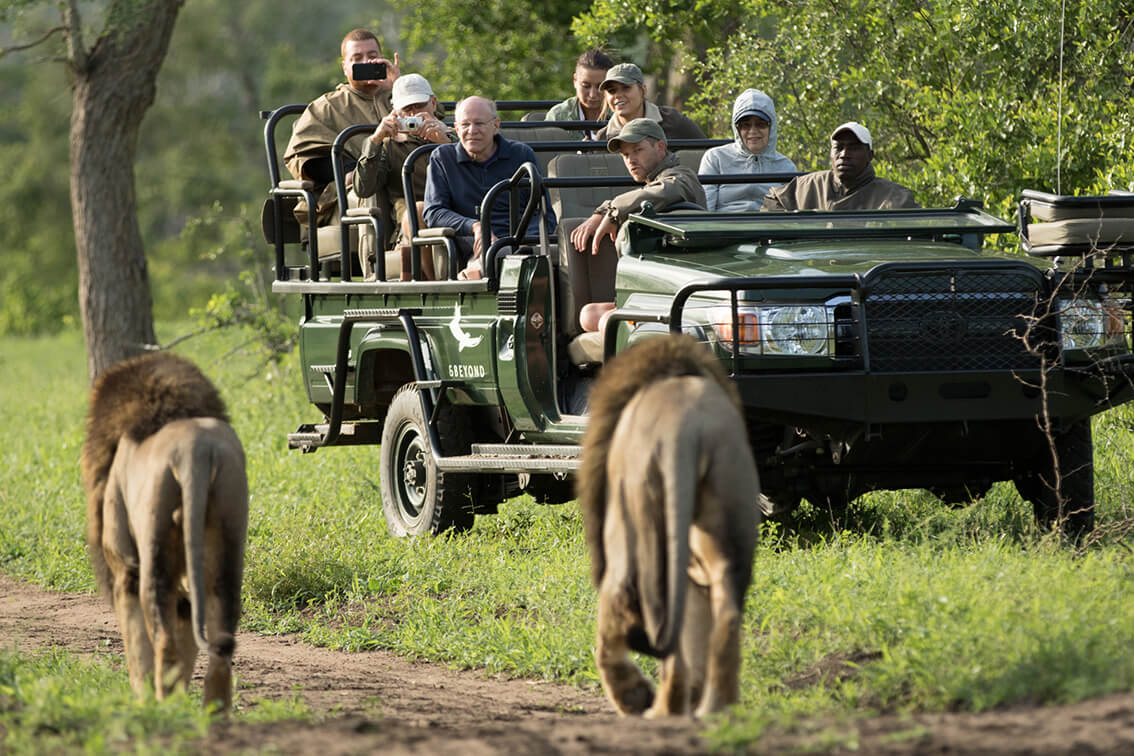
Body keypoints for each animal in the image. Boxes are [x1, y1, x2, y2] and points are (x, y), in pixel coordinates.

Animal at [80, 352, 248, 713]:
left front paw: (141, 698)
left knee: (164, 642)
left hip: (153, 554)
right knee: (220, 647)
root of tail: (196, 450)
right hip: (227, 541)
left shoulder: (124, 566)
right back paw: (212, 715)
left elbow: (136, 646)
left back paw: (164, 709)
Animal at [578, 334, 759, 718]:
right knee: (725, 615)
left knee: (639, 617)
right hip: (726, 516)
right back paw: (716, 707)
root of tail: (686, 427)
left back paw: (653, 706)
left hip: (639, 526)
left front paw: (635, 695)